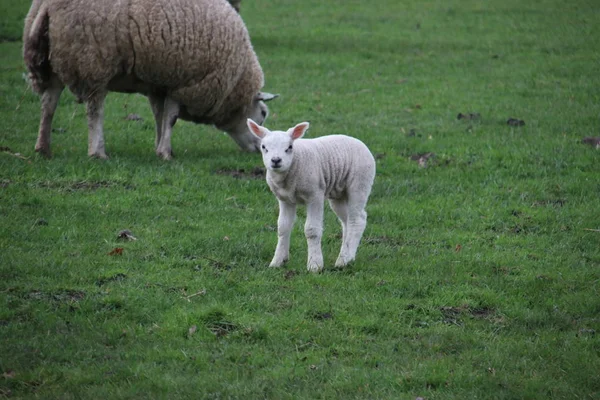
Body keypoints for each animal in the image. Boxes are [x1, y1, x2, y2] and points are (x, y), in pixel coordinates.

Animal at [22, 0, 276, 159]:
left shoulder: (160, 84)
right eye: (263, 114)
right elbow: (170, 118)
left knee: (48, 105)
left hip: (52, 62)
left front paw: (160, 146)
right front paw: (165, 153)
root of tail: (47, 6)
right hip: (93, 62)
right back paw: (97, 152)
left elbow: (159, 115)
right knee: (95, 111)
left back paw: (43, 148)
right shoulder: (186, 83)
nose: (260, 150)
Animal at [247, 118, 376, 272]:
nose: (276, 160)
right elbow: (283, 227)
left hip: (360, 183)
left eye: (289, 147)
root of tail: (360, 142)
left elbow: (312, 230)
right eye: (263, 147)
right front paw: (277, 261)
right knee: (347, 221)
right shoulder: (284, 199)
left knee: (357, 220)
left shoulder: (315, 195)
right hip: (338, 193)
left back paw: (344, 260)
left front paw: (315, 265)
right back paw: (347, 255)